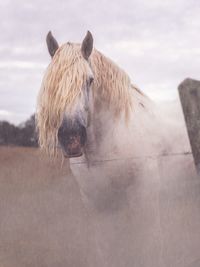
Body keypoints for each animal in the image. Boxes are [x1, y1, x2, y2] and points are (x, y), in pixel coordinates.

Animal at [35, 30, 197, 266]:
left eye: (90, 80)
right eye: (53, 83)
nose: (72, 137)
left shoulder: (145, 200)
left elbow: (150, 247)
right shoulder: (100, 207)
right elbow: (108, 250)